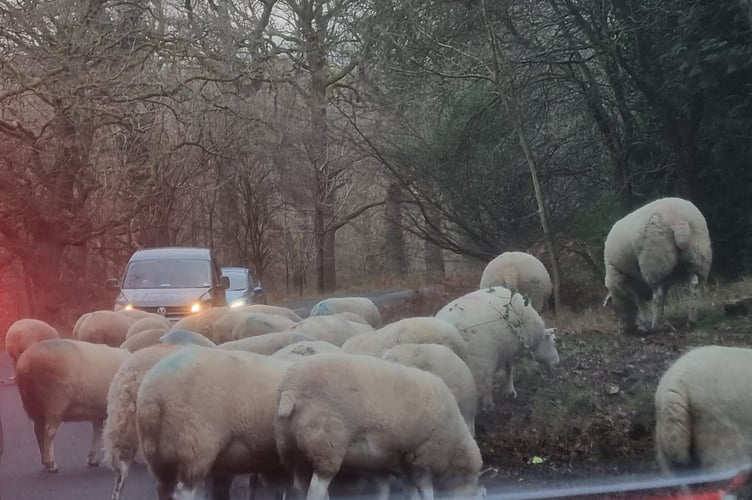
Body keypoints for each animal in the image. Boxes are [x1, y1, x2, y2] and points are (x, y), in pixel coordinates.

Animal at [14, 338, 131, 472]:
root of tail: (25, 362)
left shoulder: (99, 412)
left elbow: (98, 432)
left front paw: (92, 458)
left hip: (35, 406)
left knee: (39, 431)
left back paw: (44, 461)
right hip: (55, 402)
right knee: (49, 431)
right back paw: (51, 464)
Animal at [135, 347, 291, 500]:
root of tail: (152, 394)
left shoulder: (272, 465)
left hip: (159, 458)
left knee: (164, 488)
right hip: (193, 448)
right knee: (183, 491)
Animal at [274, 353, 484, 500]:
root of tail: (291, 390)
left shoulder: (400, 459)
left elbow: (405, 489)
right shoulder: (422, 454)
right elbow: (425, 489)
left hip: (292, 449)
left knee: (300, 486)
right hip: (325, 442)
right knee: (316, 489)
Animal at [603, 197, 712, 333]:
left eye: (615, 309)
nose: (627, 329)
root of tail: (679, 221)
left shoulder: (631, 281)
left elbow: (640, 301)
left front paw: (644, 324)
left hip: (654, 263)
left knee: (657, 296)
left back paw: (655, 325)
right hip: (697, 256)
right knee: (694, 287)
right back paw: (692, 319)